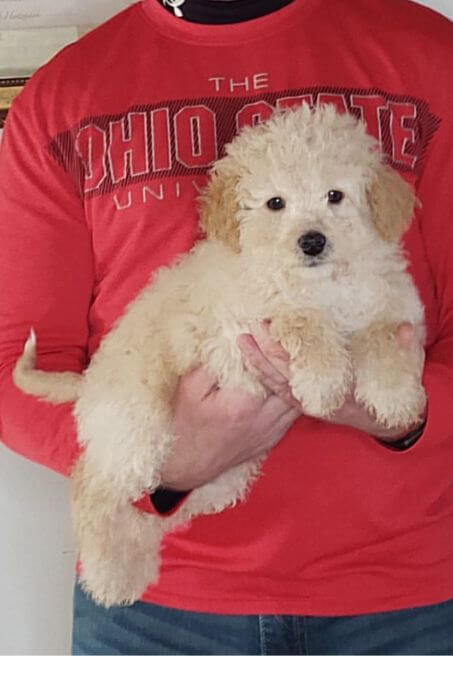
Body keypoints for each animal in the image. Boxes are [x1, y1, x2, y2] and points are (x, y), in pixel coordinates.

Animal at [13, 105, 424, 604]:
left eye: (335, 195)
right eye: (275, 204)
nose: (311, 241)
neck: (323, 284)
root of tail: (89, 381)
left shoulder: (395, 307)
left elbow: (382, 338)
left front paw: (396, 399)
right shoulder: (239, 327)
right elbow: (299, 321)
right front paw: (324, 381)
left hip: (221, 475)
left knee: (155, 512)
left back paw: (135, 565)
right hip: (138, 427)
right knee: (92, 487)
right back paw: (110, 573)